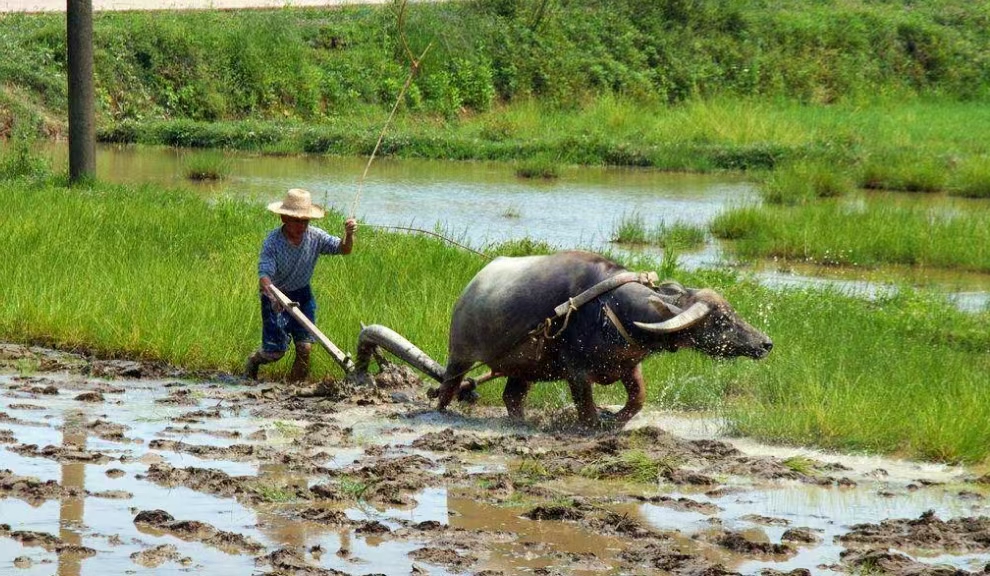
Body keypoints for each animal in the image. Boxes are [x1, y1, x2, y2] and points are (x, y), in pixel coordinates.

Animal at [436, 251, 776, 428]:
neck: (613, 309)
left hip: (524, 367)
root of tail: (470, 289)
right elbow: (586, 409)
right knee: (448, 387)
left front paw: (615, 421)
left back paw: (523, 422)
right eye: (721, 320)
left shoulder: (629, 364)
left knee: (512, 397)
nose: (766, 344)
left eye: (732, 312)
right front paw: (594, 425)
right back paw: (441, 411)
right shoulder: (576, 372)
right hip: (459, 356)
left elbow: (638, 399)